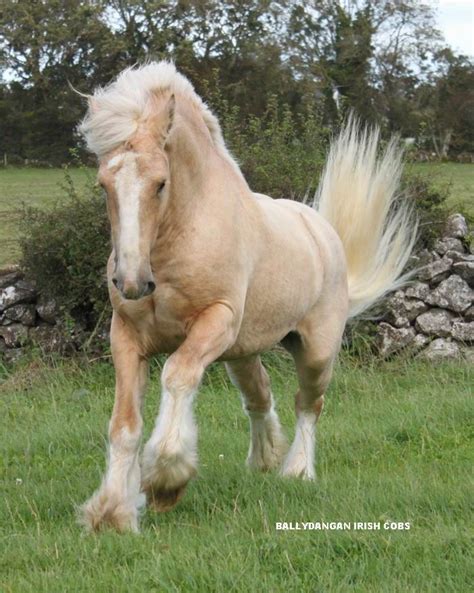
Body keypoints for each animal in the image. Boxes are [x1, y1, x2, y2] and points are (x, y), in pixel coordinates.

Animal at [78, 61, 414, 532]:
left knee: (309, 403)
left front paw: (164, 482)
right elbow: (123, 424)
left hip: (314, 351)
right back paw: (265, 460)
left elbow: (177, 376)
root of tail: (322, 230)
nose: (131, 282)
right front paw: (111, 512)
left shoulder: (215, 321)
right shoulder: (126, 337)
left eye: (160, 184)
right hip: (241, 351)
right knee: (260, 395)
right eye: (104, 184)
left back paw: (297, 471)